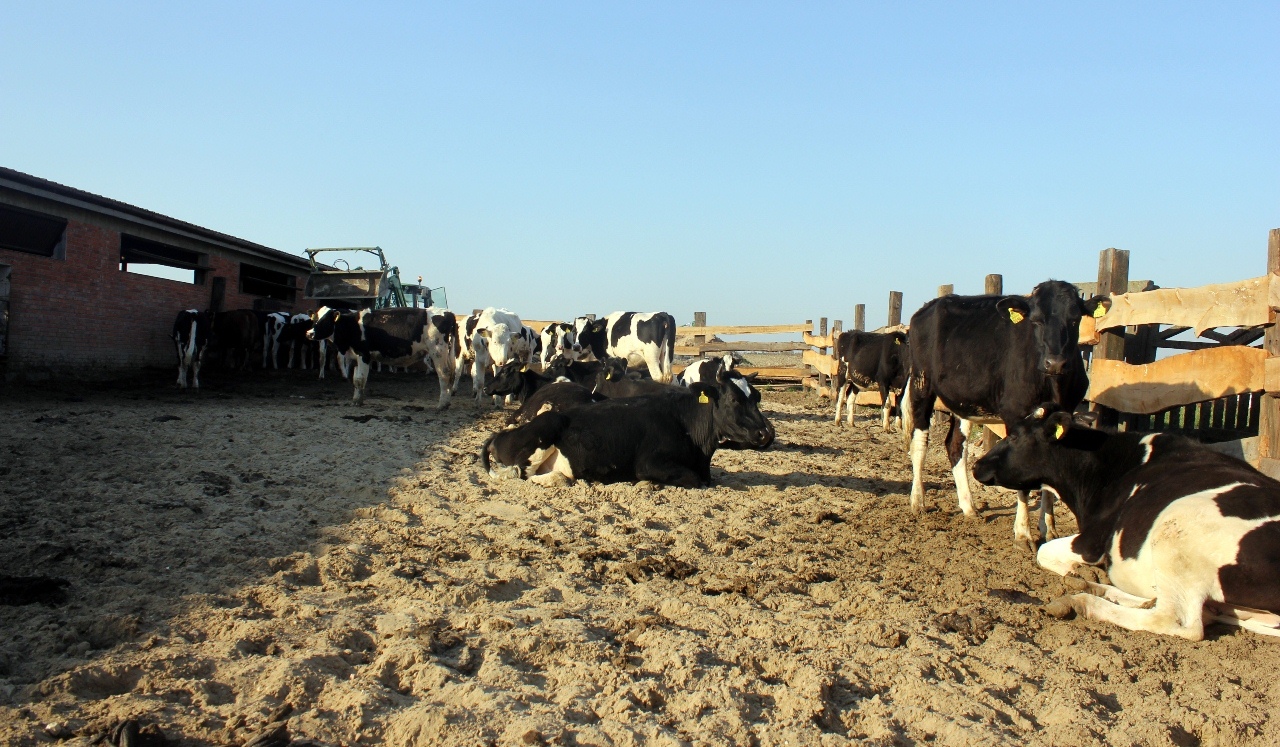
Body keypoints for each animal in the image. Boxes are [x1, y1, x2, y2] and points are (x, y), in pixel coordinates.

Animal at [306, 306, 458, 407]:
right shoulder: (356, 357)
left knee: (444, 374)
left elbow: (360, 379)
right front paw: (356, 399)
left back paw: (442, 404)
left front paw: (358, 402)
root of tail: (448, 313)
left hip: (437, 351)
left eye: (325, 321)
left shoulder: (364, 355)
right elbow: (356, 379)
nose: (309, 333)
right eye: (315, 319)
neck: (352, 326)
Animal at [481, 371, 774, 488]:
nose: (766, 433)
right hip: (545, 430)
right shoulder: (649, 463)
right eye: (734, 399)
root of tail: (500, 435)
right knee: (522, 473)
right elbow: (690, 478)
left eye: (757, 397)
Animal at [901, 280, 1110, 551]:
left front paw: (1049, 529)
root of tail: (928, 307)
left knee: (955, 445)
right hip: (921, 382)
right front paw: (1023, 534)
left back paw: (969, 507)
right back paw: (918, 501)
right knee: (920, 442)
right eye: (1036, 320)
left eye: (1075, 319)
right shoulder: (1015, 414)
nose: (1055, 363)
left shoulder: (1065, 413)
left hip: (964, 401)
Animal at [973, 404, 1280, 640]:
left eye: (1014, 436)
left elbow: (1043, 552)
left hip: (1176, 525)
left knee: (1178, 621)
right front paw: (1084, 576)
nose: (977, 465)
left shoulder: (1093, 540)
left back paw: (1080, 600)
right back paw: (1091, 586)